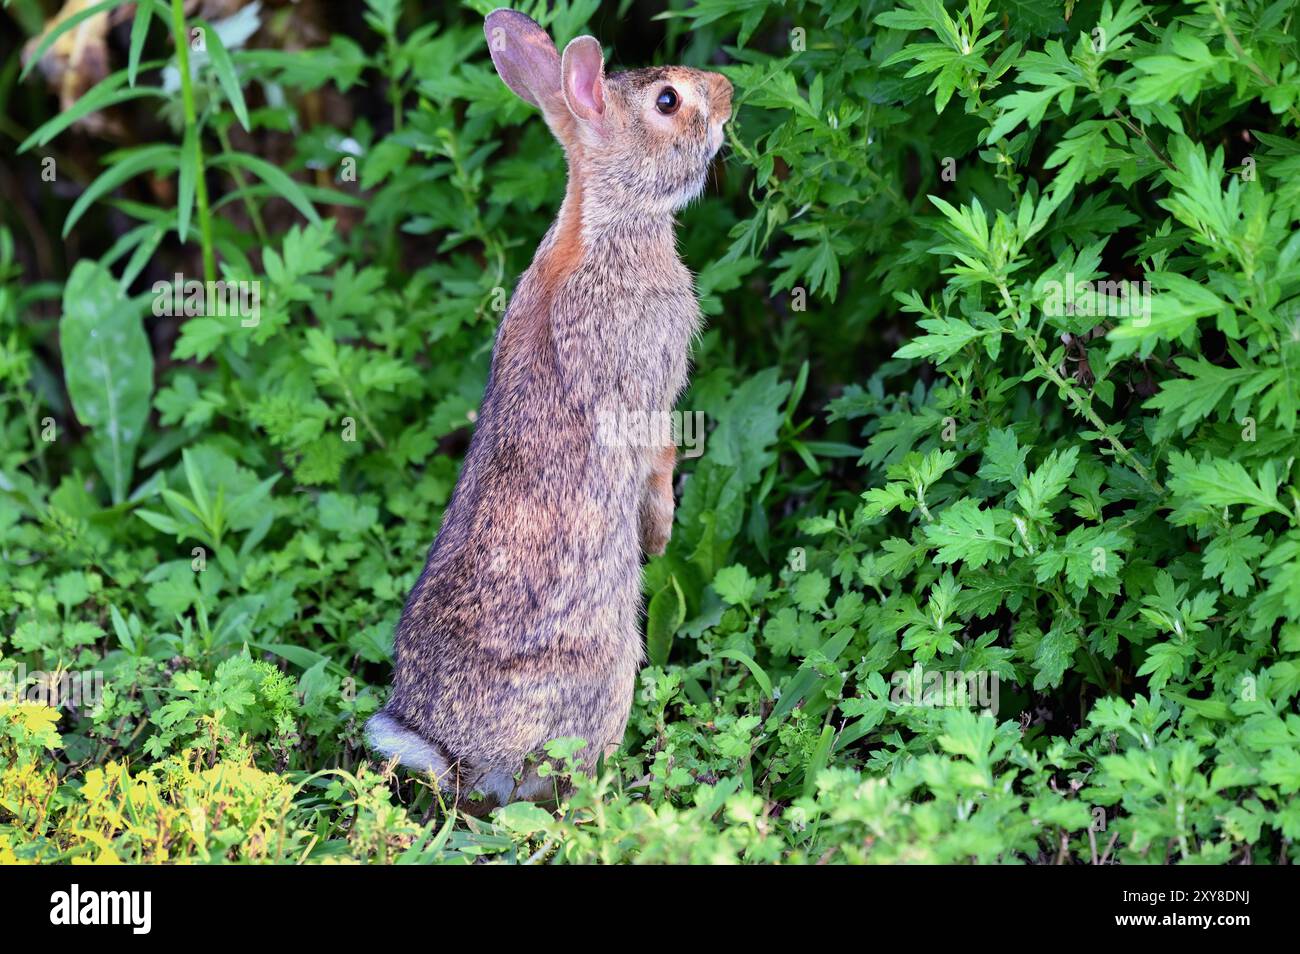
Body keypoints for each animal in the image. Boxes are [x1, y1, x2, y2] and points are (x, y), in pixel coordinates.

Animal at [365, 8, 733, 813]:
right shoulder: (651, 390)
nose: (726, 91)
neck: (607, 223)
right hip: (608, 673)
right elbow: (658, 458)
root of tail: (463, 758)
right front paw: (660, 532)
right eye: (667, 101)